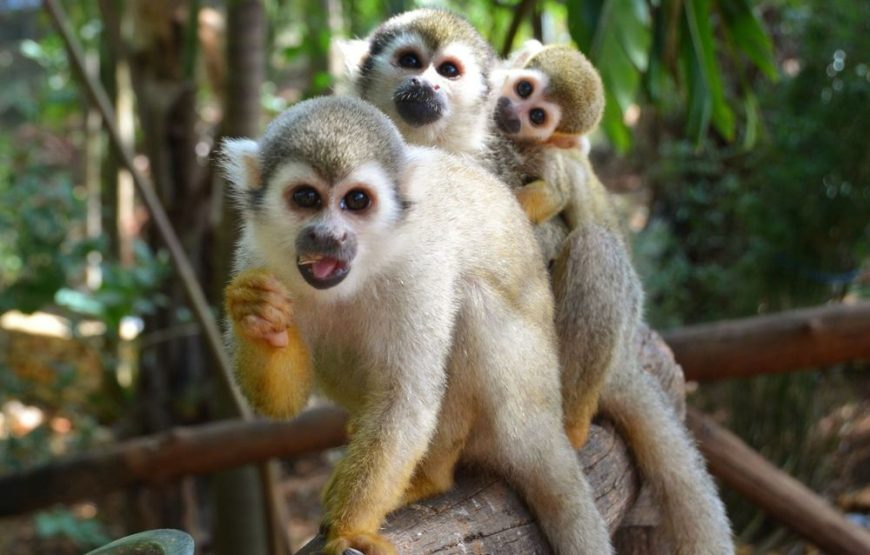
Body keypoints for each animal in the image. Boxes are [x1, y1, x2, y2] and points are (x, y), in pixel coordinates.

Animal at [221, 96, 614, 555]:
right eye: (305, 197)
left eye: (356, 201)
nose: (329, 236)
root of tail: (546, 420)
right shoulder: (256, 254)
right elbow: (284, 404)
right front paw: (257, 314)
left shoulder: (418, 266)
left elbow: (406, 399)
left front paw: (350, 530)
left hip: (519, 401)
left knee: (469, 305)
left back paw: (431, 476)